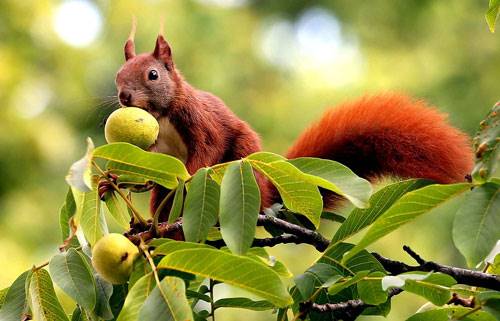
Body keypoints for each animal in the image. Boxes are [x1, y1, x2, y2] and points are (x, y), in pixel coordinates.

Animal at [115, 31, 474, 218]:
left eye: (153, 75)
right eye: (118, 75)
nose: (123, 96)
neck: (162, 114)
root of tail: (266, 193)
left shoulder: (199, 119)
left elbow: (210, 145)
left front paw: (190, 175)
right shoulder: (155, 147)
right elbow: (147, 168)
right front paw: (115, 182)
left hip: (244, 159)